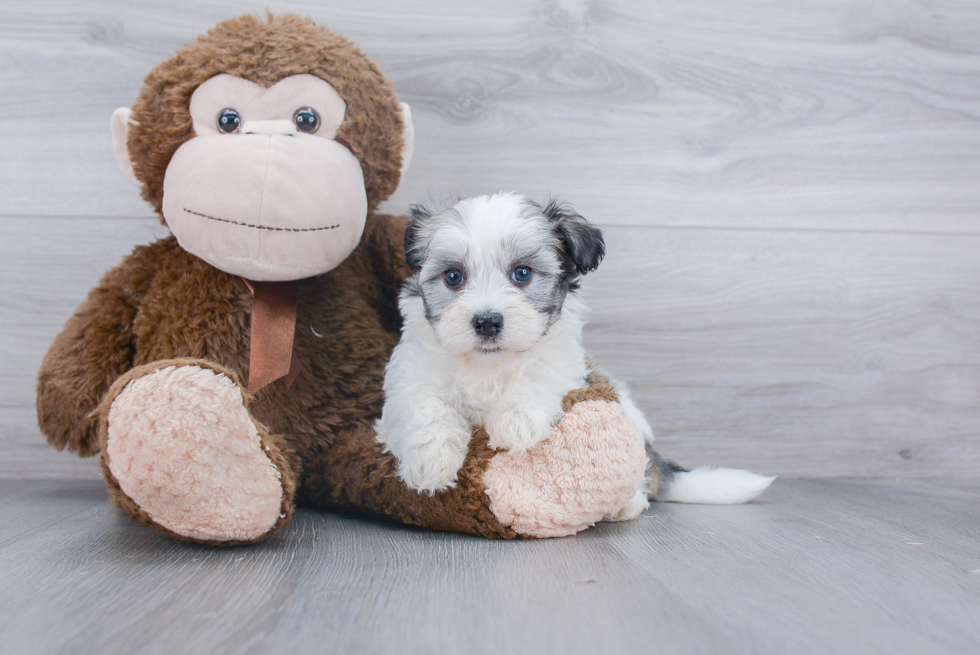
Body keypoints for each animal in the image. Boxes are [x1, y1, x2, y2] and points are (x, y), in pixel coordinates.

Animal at [376, 192, 772, 516]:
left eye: (522, 273)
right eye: (453, 277)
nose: (487, 322)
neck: (489, 363)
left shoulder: (563, 363)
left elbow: (539, 374)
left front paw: (517, 420)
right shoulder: (412, 376)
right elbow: (424, 408)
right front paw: (431, 461)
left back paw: (627, 504)